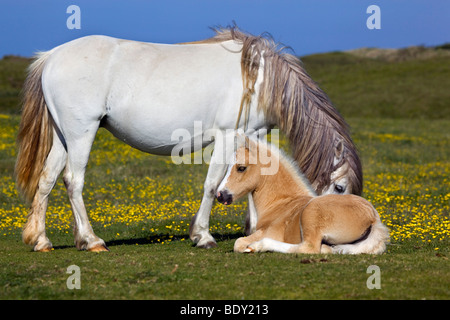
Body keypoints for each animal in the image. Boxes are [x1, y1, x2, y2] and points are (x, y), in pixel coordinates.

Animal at [14, 26, 362, 251]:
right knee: (73, 181)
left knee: (47, 180)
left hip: (63, 136)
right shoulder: (227, 136)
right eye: (339, 188)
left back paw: (41, 241)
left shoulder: (253, 136)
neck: (260, 79)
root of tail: (51, 56)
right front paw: (202, 236)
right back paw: (91, 240)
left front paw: (254, 228)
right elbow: (212, 184)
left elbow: (252, 184)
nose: (341, 237)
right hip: (81, 134)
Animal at [216, 136, 388, 255]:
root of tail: (372, 217)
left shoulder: (268, 232)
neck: (281, 203)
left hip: (310, 215)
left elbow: (239, 242)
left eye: (241, 168)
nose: (220, 195)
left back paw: (259, 246)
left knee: (309, 247)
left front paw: (249, 247)